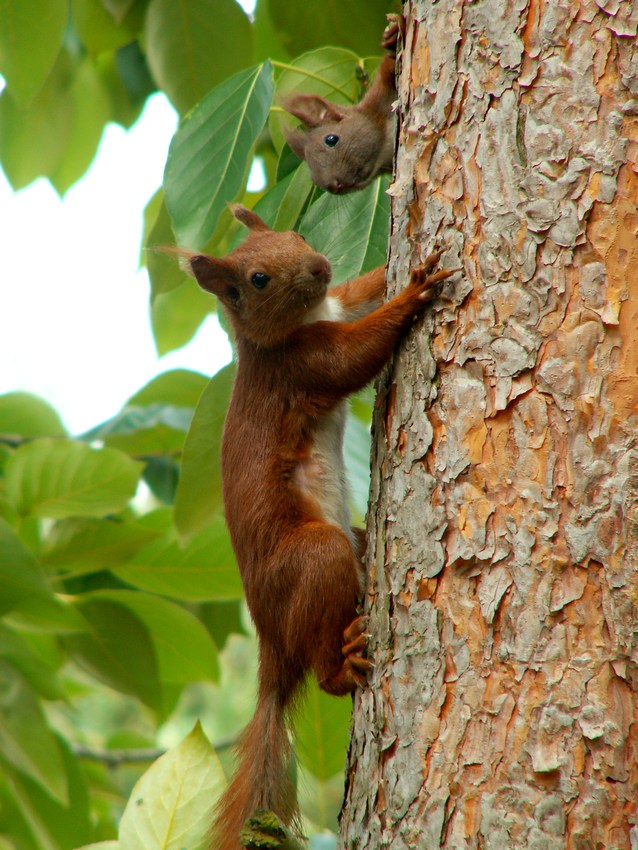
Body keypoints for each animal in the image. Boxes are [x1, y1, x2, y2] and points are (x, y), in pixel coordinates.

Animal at [180, 207, 450, 848]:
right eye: (256, 279)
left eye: (297, 235)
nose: (320, 264)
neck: (296, 323)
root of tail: (273, 649)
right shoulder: (300, 366)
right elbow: (354, 356)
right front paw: (414, 292)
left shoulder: (337, 303)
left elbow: (361, 290)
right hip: (315, 558)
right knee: (324, 668)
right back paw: (344, 661)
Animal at [284, 18, 400, 194]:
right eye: (313, 179)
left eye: (331, 139)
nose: (332, 186)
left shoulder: (380, 94)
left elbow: (389, 64)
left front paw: (392, 35)